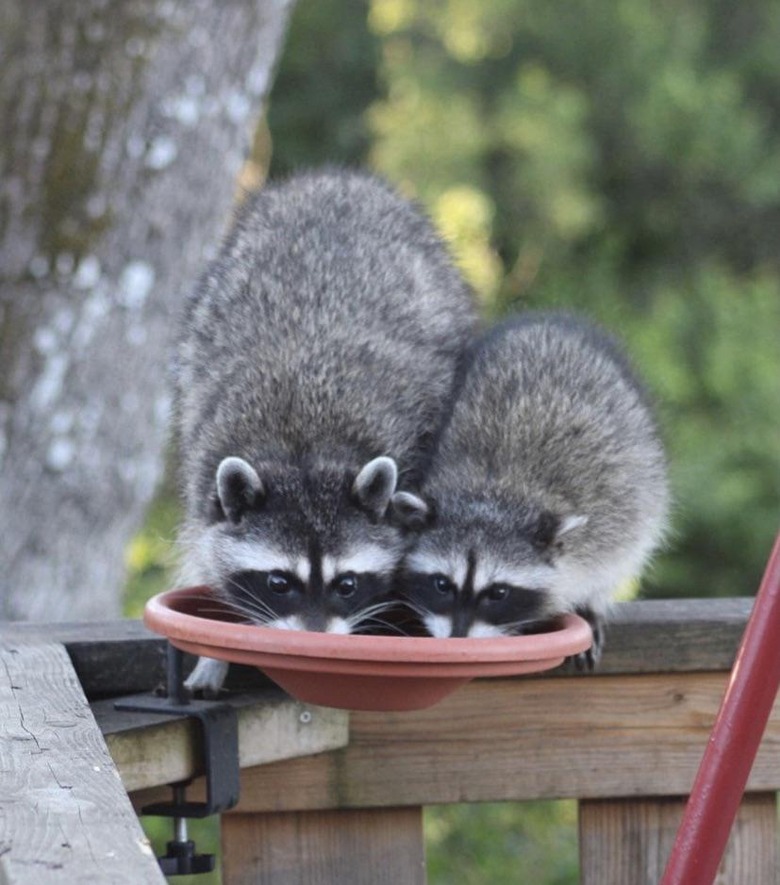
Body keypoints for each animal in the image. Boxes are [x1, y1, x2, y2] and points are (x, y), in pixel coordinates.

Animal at [173, 166, 476, 692]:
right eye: (279, 582)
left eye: (346, 584)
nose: (313, 642)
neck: (306, 452)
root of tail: (336, 179)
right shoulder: (203, 466)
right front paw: (215, 651)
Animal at [394, 310, 668, 656]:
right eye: (442, 584)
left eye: (498, 593)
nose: (458, 641)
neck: (492, 491)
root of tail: (550, 324)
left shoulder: (606, 525)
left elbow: (614, 558)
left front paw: (591, 604)